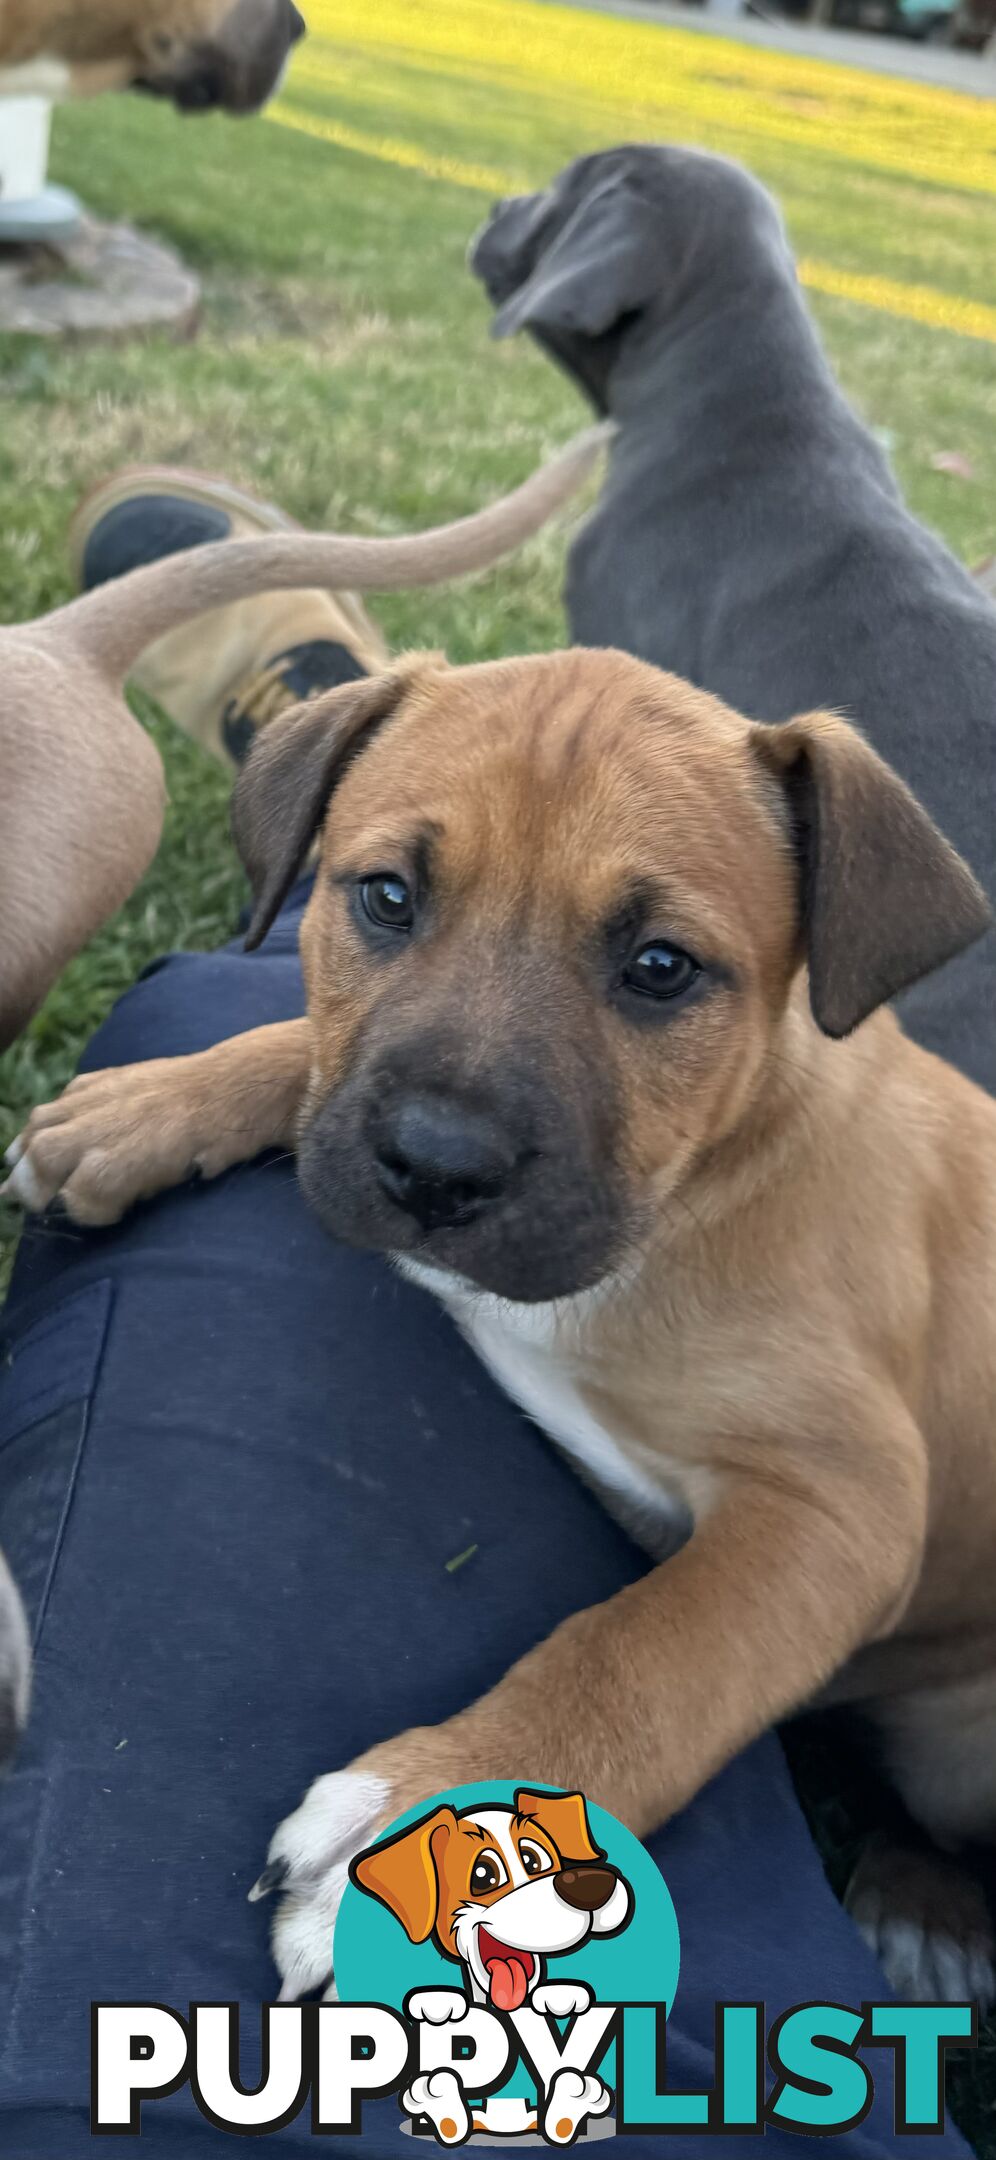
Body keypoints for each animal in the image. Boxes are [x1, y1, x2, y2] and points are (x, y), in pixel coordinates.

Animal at [7, 643, 993, 2004]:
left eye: (662, 968)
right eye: (385, 897)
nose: (437, 1166)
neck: (701, 1176)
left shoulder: (843, 1505)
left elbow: (640, 1654)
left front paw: (420, 1819)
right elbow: (311, 1061)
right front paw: (147, 1108)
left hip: (960, 1741)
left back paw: (926, 1910)